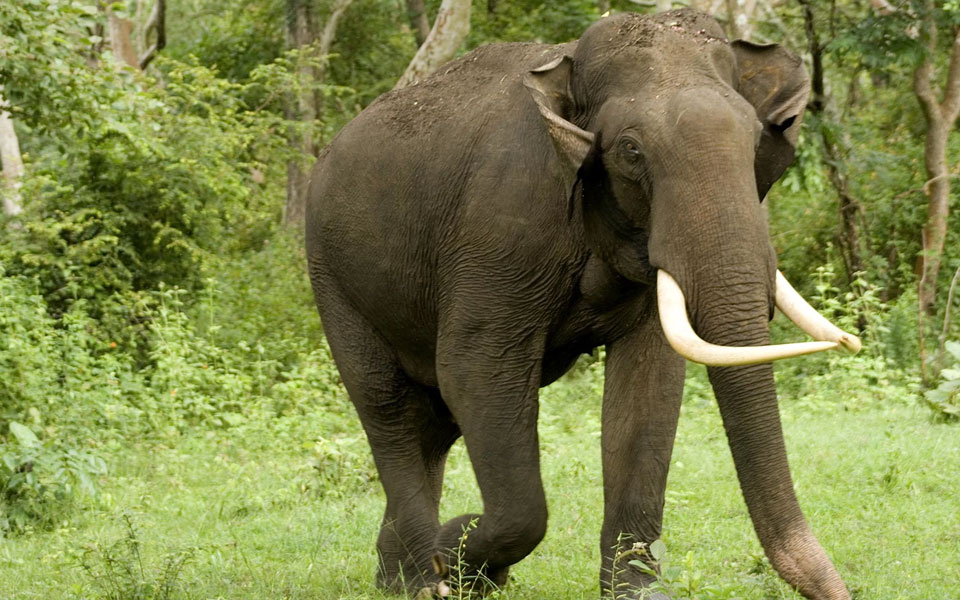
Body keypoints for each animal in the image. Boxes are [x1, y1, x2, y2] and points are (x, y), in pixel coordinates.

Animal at [306, 9, 861, 600]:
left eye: (756, 138)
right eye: (631, 151)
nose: (841, 591)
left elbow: (648, 387)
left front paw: (635, 593)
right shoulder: (497, 228)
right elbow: (478, 370)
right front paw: (460, 555)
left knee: (432, 426)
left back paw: (399, 577)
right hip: (331, 274)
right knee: (387, 405)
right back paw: (424, 582)